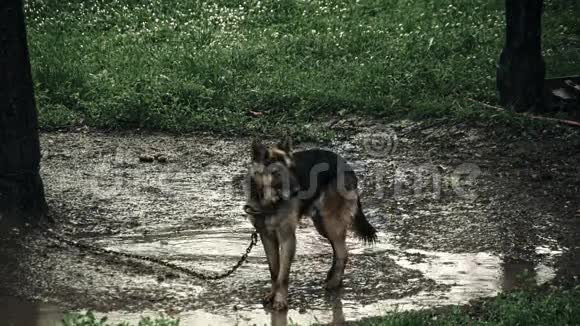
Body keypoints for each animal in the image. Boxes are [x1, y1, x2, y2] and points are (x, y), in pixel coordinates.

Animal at [244, 138, 376, 310]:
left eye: (292, 168)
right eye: (277, 172)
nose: (297, 191)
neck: (268, 202)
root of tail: (346, 165)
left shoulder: (288, 238)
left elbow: (283, 275)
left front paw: (280, 300)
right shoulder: (266, 237)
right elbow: (274, 271)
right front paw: (272, 295)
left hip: (330, 223)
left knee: (343, 252)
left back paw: (334, 283)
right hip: (322, 225)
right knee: (337, 250)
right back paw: (333, 277)